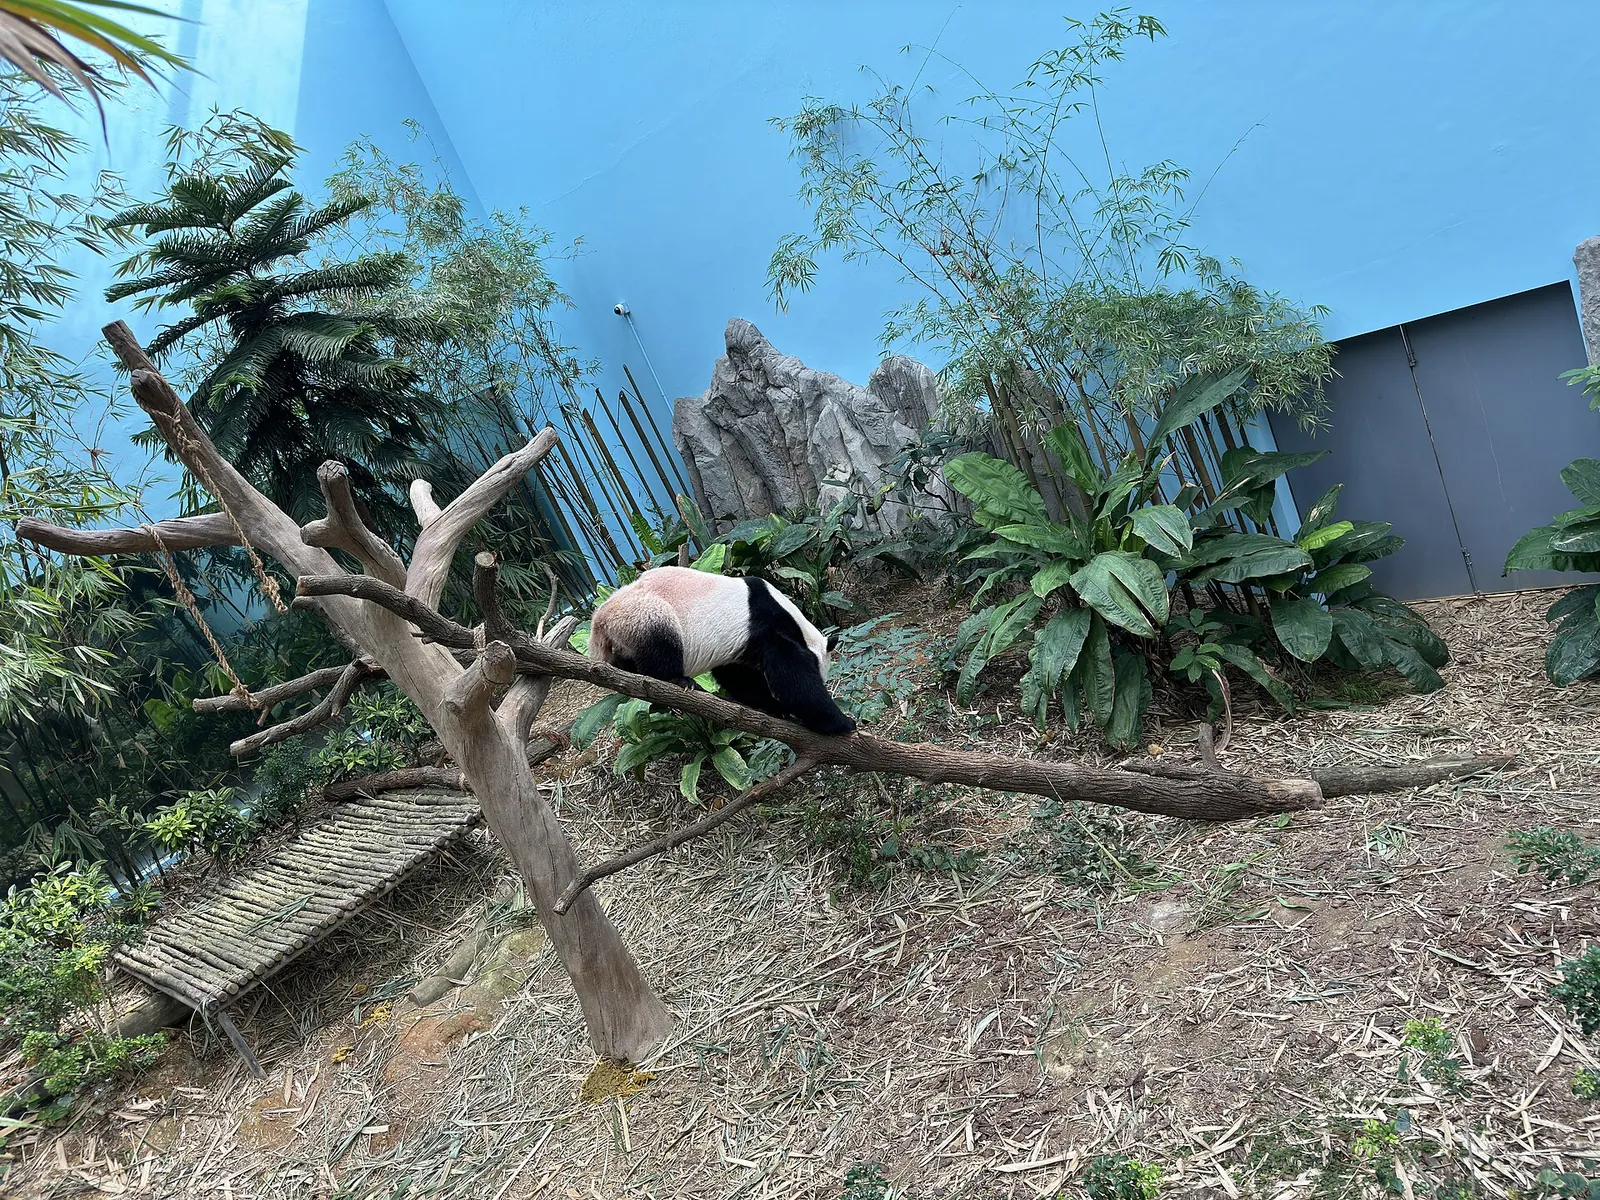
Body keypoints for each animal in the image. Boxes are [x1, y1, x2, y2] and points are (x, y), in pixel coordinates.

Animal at [588, 566, 857, 736]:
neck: (799, 626)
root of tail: (600, 620)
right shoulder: (767, 627)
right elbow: (795, 683)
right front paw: (843, 723)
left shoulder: (740, 647)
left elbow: (738, 678)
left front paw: (773, 708)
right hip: (644, 613)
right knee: (660, 645)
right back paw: (678, 681)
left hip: (626, 633)